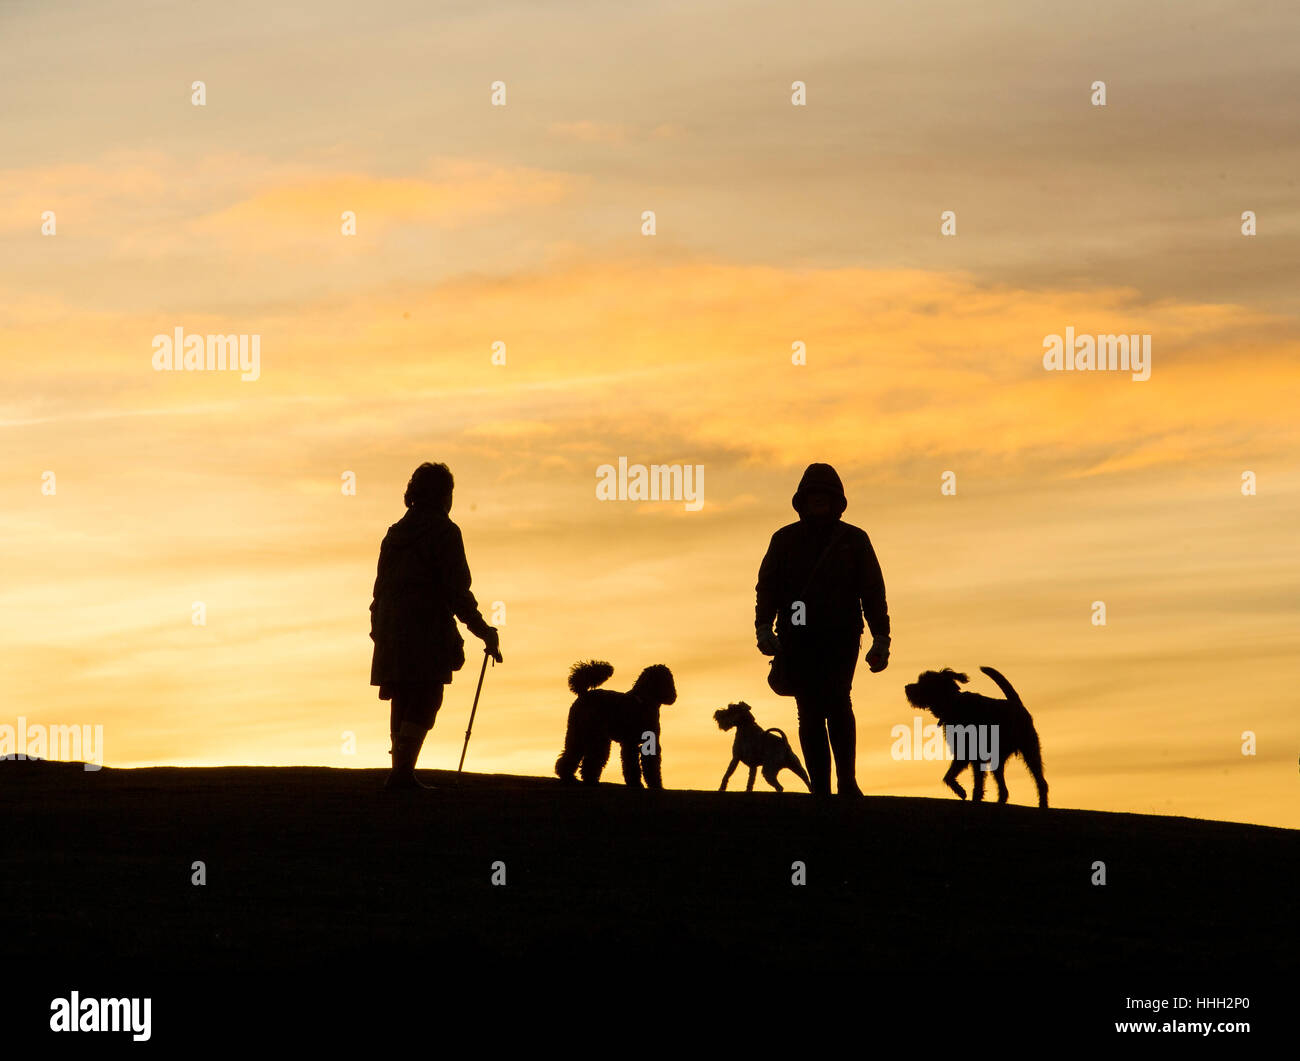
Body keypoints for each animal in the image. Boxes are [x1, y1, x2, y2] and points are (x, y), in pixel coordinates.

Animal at [556, 655, 681, 785]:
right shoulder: (635, 742)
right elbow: (637, 764)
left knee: (571, 753)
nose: (673, 696)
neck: (643, 700)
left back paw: (568, 776)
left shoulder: (641, 742)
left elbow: (641, 764)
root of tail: (584, 694)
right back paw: (590, 779)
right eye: (668, 679)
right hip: (597, 736)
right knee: (591, 759)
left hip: (577, 732)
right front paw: (642, 784)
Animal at [904, 665, 1045, 806]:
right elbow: (949, 776)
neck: (953, 705)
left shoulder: (973, 755)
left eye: (923, 682)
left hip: (1030, 751)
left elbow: (976, 781)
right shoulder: (964, 753)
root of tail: (1017, 704)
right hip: (998, 760)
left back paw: (1043, 804)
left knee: (1041, 782)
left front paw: (969, 795)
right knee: (1004, 789)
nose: (906, 687)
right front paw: (961, 791)